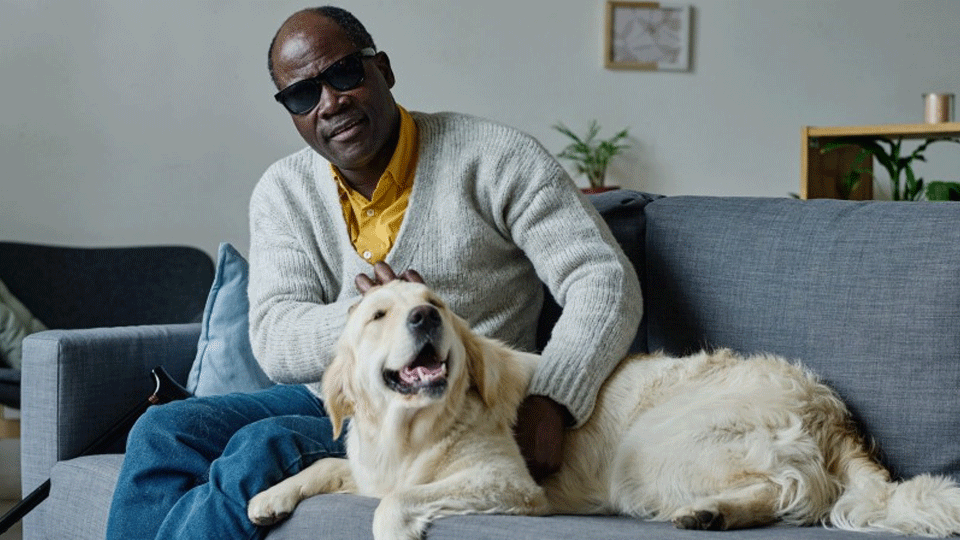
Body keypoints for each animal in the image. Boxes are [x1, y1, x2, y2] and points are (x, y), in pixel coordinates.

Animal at [249, 280, 960, 536]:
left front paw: (392, 528)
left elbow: (398, 499)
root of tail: (829, 405)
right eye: (378, 314)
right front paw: (270, 497)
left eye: (437, 305)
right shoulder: (371, 466)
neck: (412, 429)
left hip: (650, 451)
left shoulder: (509, 485)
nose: (426, 318)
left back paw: (712, 511)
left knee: (795, 491)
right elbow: (329, 469)